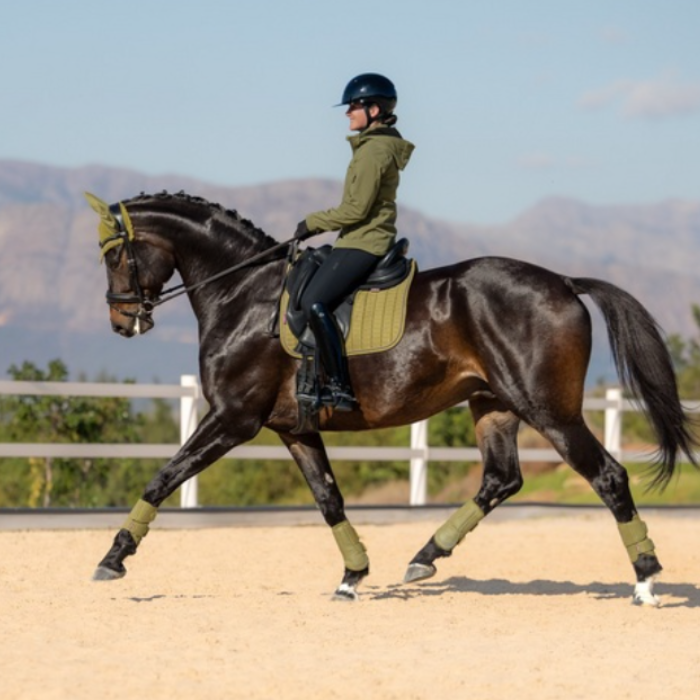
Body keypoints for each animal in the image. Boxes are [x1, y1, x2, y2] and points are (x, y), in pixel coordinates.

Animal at [85, 190, 698, 606]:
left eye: (114, 256)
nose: (120, 323)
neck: (242, 294)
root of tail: (566, 282)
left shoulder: (233, 418)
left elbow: (163, 478)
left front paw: (113, 559)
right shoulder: (294, 429)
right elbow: (329, 499)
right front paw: (352, 577)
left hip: (550, 410)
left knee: (607, 476)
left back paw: (645, 579)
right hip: (494, 405)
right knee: (501, 480)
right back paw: (423, 559)